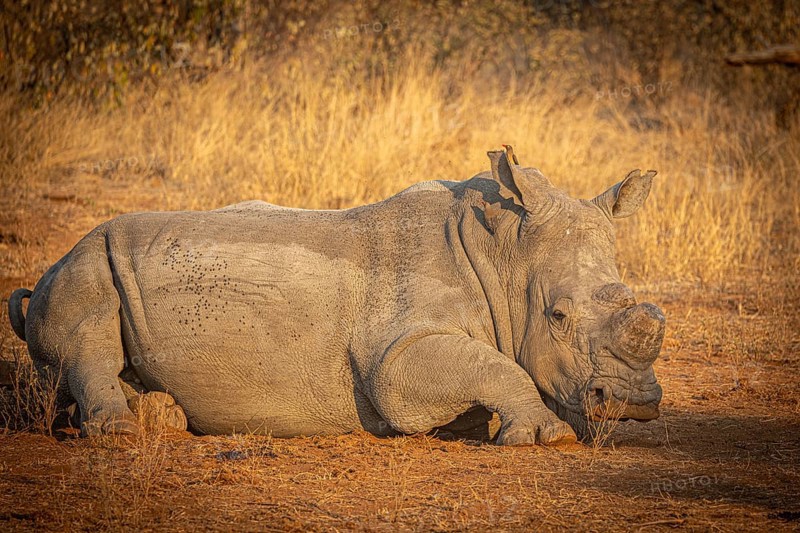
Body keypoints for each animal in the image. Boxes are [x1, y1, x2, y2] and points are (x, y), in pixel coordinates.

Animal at [8, 149, 664, 445]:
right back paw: (122, 432)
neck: (503, 252)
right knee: (84, 330)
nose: (632, 404)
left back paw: (161, 417)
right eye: (557, 316)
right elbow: (492, 366)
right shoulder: (397, 354)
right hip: (87, 256)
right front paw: (546, 436)